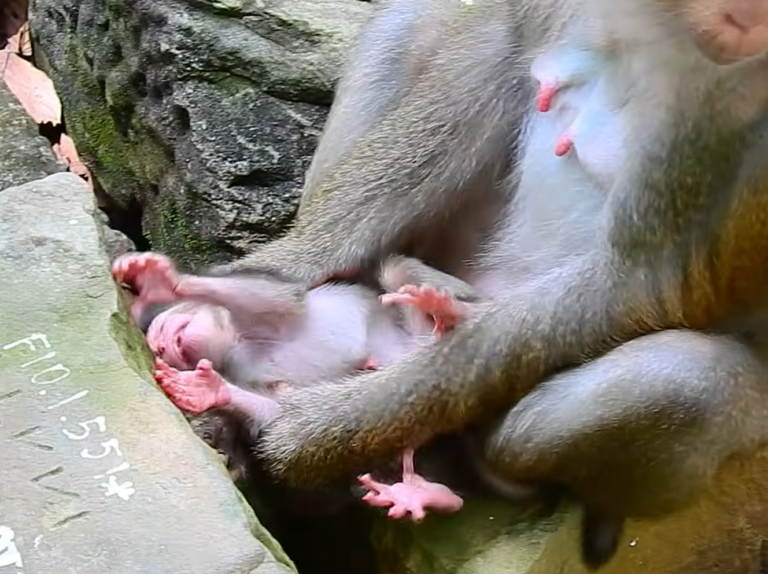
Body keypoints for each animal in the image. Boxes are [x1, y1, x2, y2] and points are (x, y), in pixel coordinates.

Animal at [113, 250, 474, 520]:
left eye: (163, 329)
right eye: (161, 351)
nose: (162, 346)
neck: (238, 342)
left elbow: (284, 301)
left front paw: (159, 283)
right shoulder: (248, 375)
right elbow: (281, 414)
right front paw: (209, 390)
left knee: (395, 270)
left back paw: (449, 315)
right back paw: (427, 495)